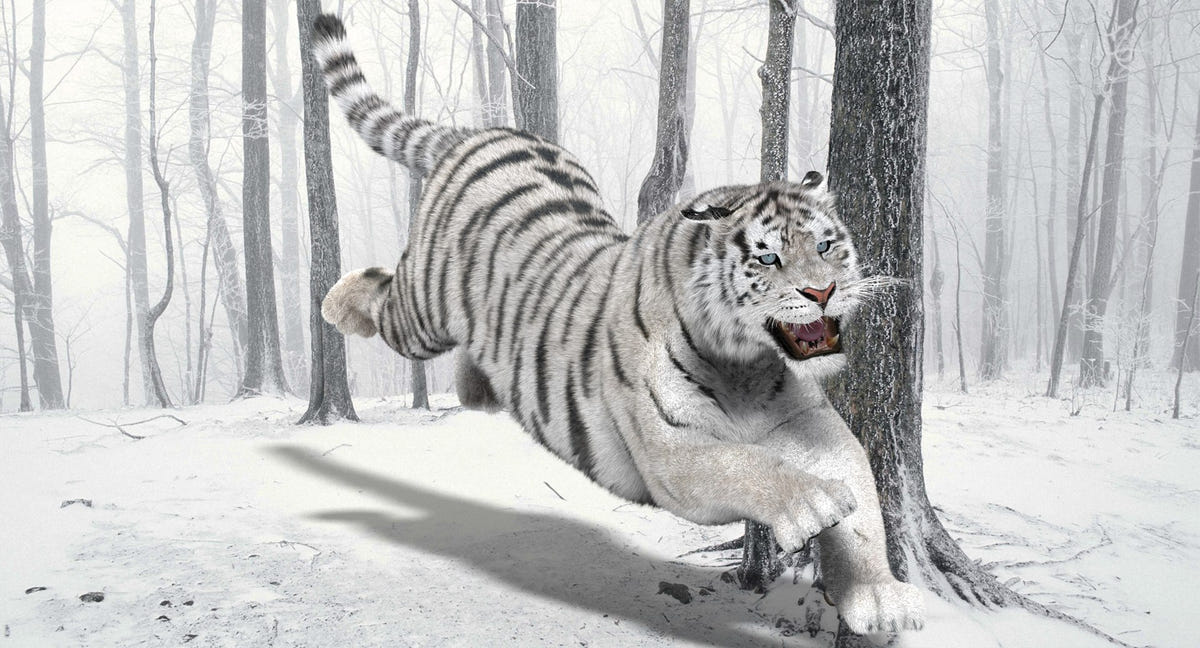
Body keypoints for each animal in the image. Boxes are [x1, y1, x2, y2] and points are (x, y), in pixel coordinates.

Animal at [311, 14, 924, 635]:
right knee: (387, 298)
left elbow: (862, 491)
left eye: (825, 247)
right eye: (769, 258)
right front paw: (812, 504)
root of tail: (476, 134)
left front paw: (880, 597)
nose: (822, 292)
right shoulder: (672, 452)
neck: (744, 363)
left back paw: (479, 386)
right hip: (423, 310)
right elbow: (742, 463)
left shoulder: (809, 420)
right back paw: (334, 302)